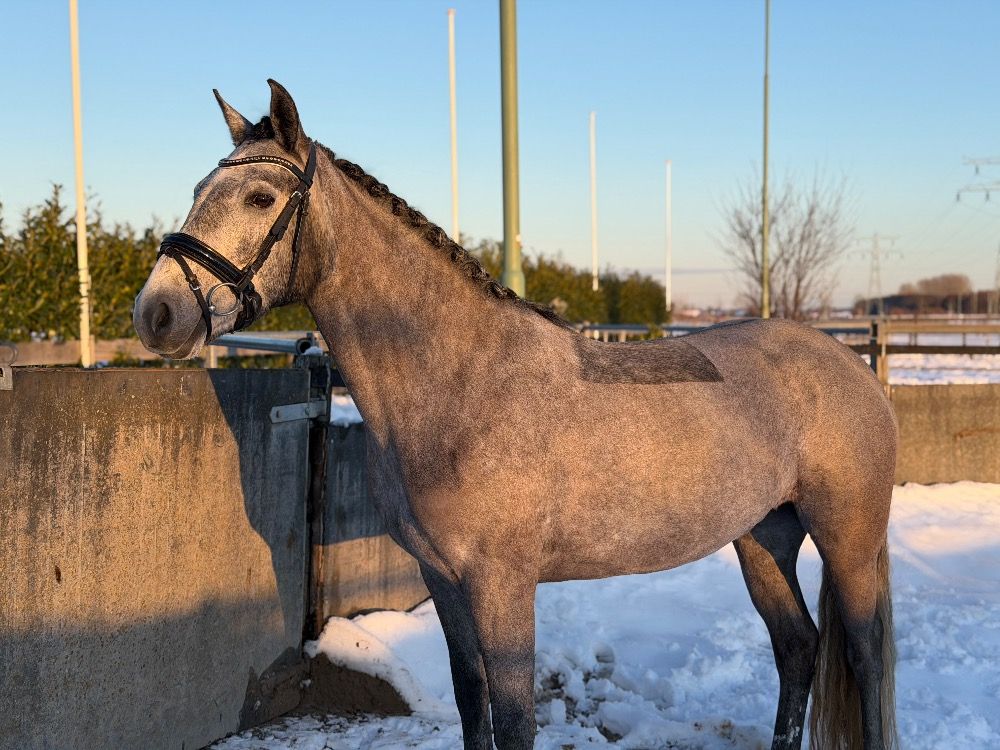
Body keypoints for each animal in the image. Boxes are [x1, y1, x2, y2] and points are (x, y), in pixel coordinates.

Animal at [134, 81, 897, 750]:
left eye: (260, 195)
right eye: (198, 191)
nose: (157, 312)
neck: (459, 384)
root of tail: (851, 367)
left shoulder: (502, 585)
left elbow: (514, 718)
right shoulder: (443, 582)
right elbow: (473, 706)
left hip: (847, 539)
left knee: (865, 660)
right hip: (763, 535)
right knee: (797, 647)